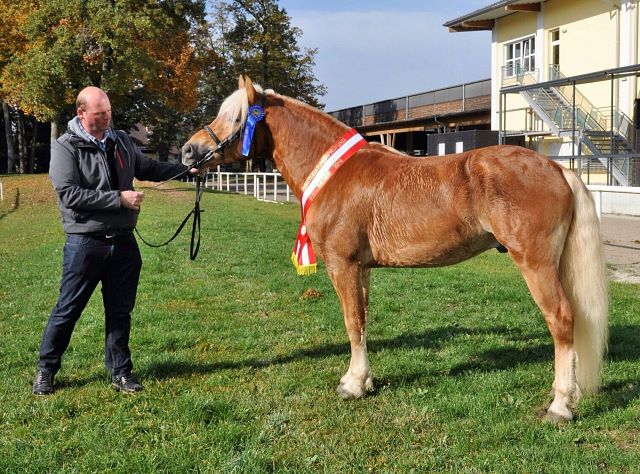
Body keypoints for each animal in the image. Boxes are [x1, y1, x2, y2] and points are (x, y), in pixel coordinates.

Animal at [182, 77, 608, 422]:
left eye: (235, 118)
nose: (188, 152)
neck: (336, 174)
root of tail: (558, 169)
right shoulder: (362, 268)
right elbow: (363, 321)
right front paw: (365, 379)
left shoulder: (342, 265)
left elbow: (351, 322)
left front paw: (352, 385)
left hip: (536, 264)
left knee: (561, 320)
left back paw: (560, 406)